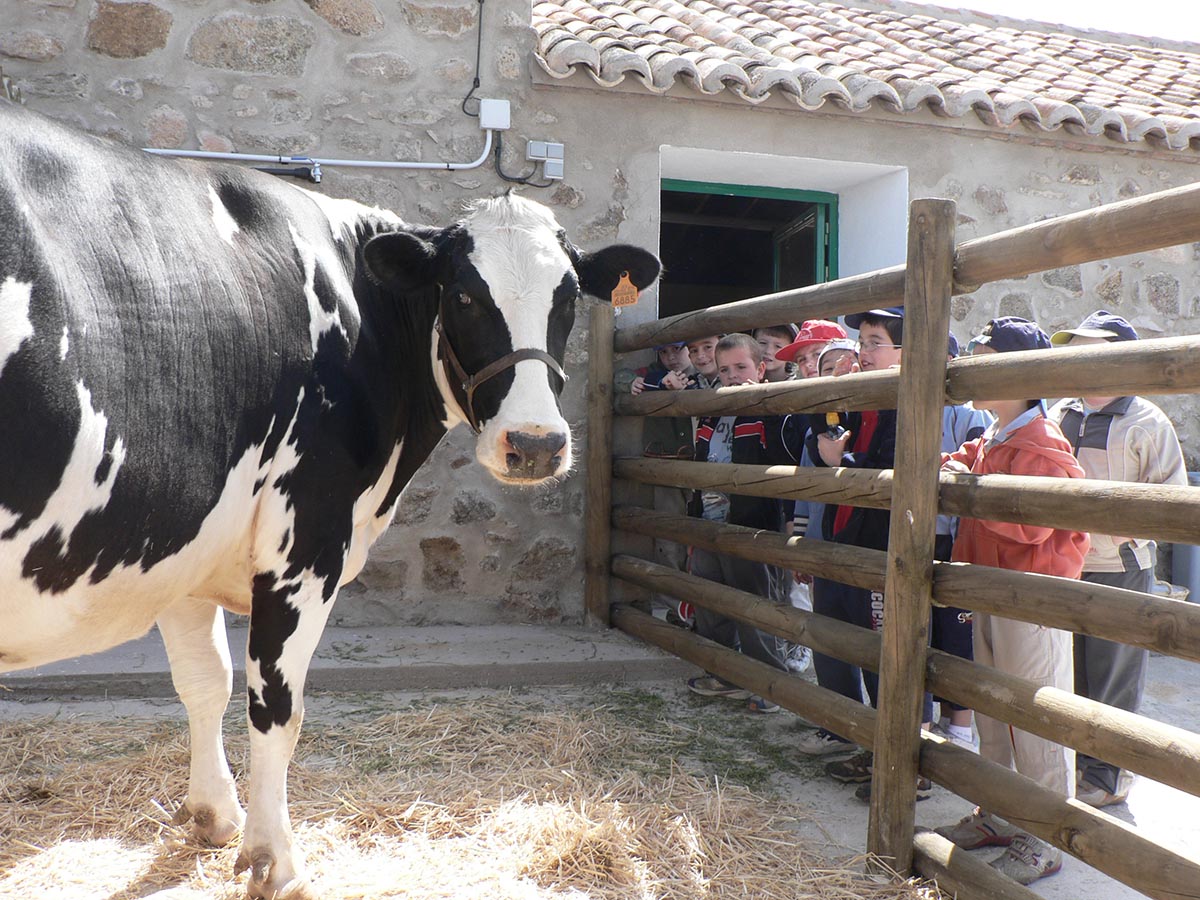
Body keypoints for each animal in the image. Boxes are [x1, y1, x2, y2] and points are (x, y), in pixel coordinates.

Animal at [0, 102, 662, 897]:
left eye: (567, 298)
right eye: (464, 295)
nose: (535, 443)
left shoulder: (183, 539)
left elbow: (204, 681)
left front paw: (213, 818)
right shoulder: (305, 539)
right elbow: (275, 705)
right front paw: (274, 861)